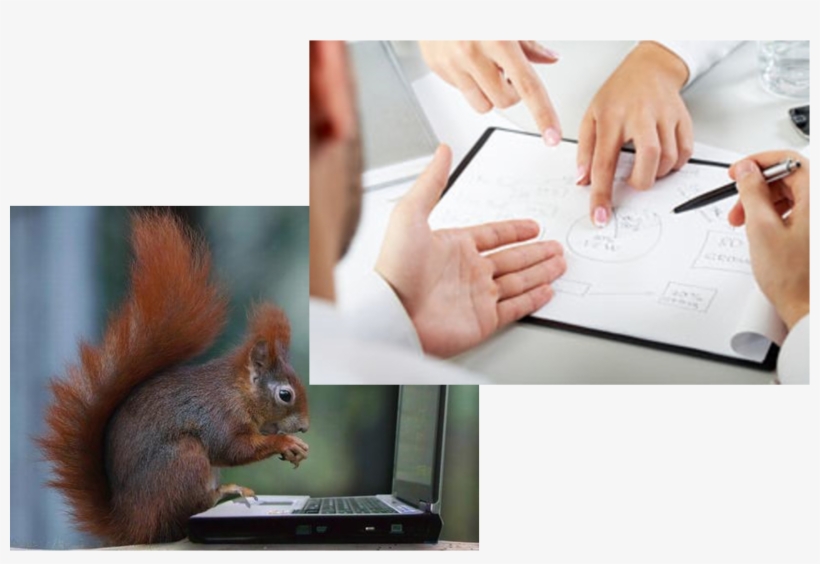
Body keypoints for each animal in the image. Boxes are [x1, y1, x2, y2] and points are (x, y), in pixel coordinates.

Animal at [37, 212, 310, 546]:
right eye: (285, 395)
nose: (305, 427)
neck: (237, 392)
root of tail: (133, 525)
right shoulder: (218, 416)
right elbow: (233, 449)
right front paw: (286, 442)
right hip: (184, 460)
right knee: (188, 510)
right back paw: (225, 491)